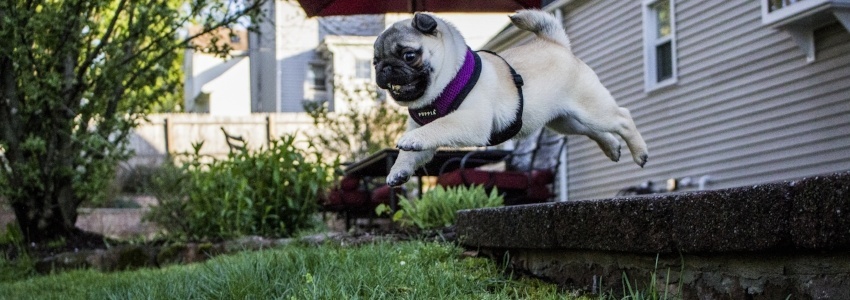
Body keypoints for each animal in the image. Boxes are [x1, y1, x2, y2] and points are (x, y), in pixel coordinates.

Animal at [374, 9, 644, 188]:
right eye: (375, 61)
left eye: (409, 56)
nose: (384, 68)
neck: (447, 82)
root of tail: (558, 45)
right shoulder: (424, 126)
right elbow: (409, 154)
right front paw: (399, 171)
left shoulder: (471, 121)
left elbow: (438, 126)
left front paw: (412, 140)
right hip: (566, 120)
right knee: (593, 131)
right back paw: (612, 148)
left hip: (592, 108)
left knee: (623, 118)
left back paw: (640, 152)